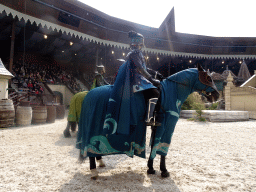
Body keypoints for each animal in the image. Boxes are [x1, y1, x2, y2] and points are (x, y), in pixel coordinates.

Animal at [76, 63, 220, 179]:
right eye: (208, 78)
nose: (217, 95)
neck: (171, 92)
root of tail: (88, 94)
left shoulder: (156, 125)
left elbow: (153, 145)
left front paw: (150, 168)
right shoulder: (167, 125)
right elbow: (160, 147)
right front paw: (163, 170)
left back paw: (100, 163)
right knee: (90, 149)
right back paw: (94, 171)